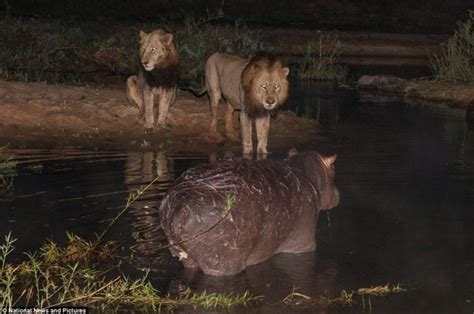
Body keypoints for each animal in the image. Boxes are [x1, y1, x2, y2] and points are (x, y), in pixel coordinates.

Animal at [161, 151, 338, 276]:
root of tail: (176, 206)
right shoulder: (303, 244)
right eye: (334, 168)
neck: (308, 176)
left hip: (185, 257)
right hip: (222, 264)